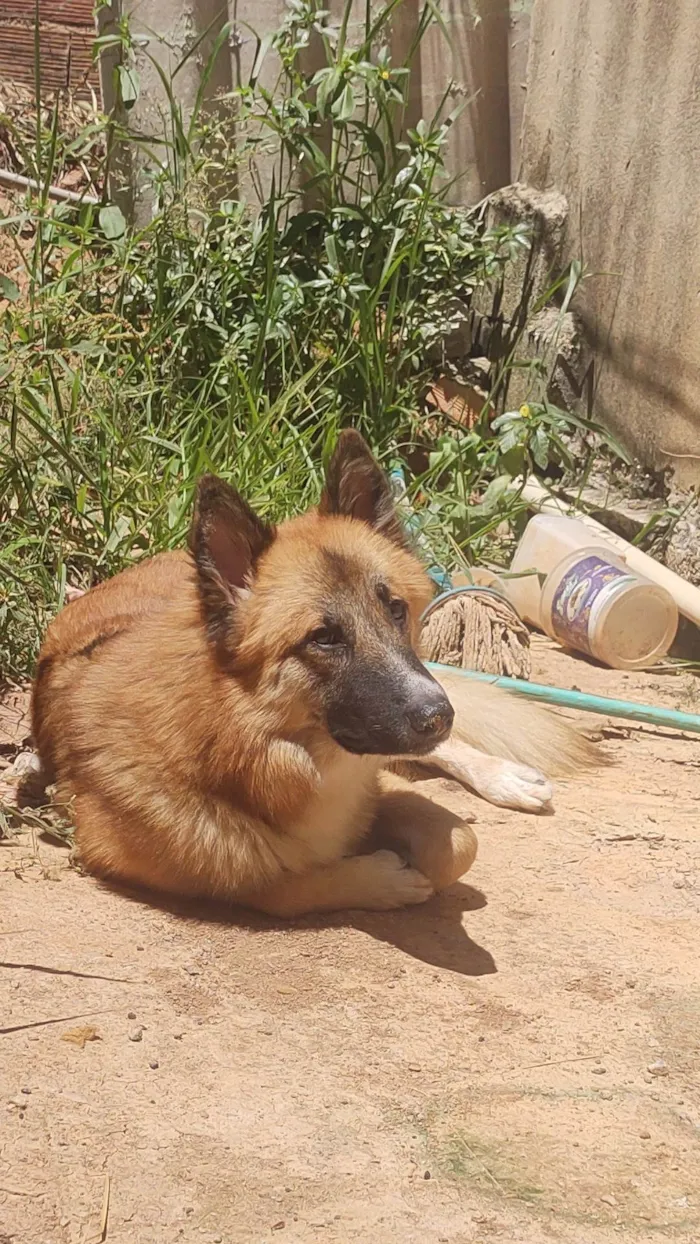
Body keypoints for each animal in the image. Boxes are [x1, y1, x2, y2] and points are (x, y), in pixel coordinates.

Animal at [31, 435, 596, 915]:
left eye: (395, 609)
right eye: (324, 638)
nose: (439, 716)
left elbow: (460, 844)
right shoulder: (155, 861)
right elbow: (280, 885)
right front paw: (382, 879)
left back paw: (505, 777)